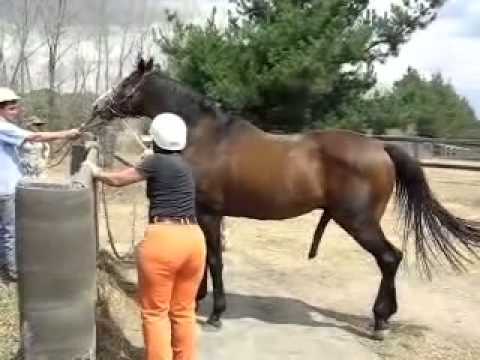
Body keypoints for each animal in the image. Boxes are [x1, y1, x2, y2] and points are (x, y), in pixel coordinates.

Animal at [92, 58, 480, 338]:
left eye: (126, 83)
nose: (97, 107)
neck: (203, 136)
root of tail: (380, 147)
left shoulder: (209, 213)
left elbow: (214, 260)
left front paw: (216, 313)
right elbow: (203, 258)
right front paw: (199, 298)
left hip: (359, 222)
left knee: (389, 258)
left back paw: (380, 321)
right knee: (391, 259)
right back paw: (383, 318)